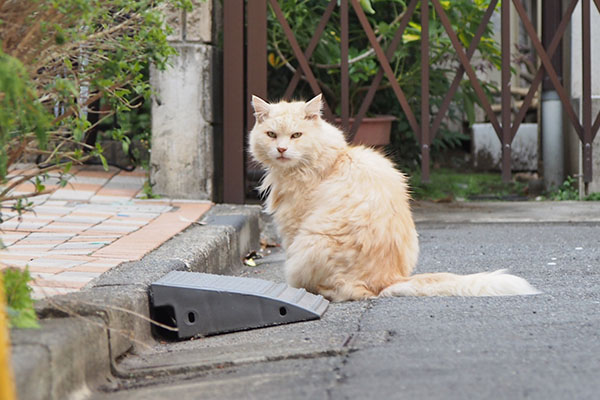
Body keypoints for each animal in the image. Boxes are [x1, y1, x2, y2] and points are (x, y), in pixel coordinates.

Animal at [248, 94, 540, 300]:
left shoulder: (292, 227)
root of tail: (389, 278)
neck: (336, 156)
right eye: (271, 135)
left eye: (296, 135)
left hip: (308, 245)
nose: (281, 149)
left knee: (348, 292)